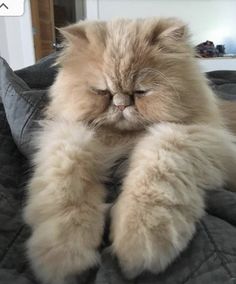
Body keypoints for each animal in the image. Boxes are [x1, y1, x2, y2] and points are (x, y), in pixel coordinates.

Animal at [23, 18, 236, 284]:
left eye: (141, 92)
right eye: (102, 92)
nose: (121, 104)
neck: (122, 140)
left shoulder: (195, 136)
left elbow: (155, 180)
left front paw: (139, 241)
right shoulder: (68, 134)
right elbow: (65, 191)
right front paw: (63, 253)